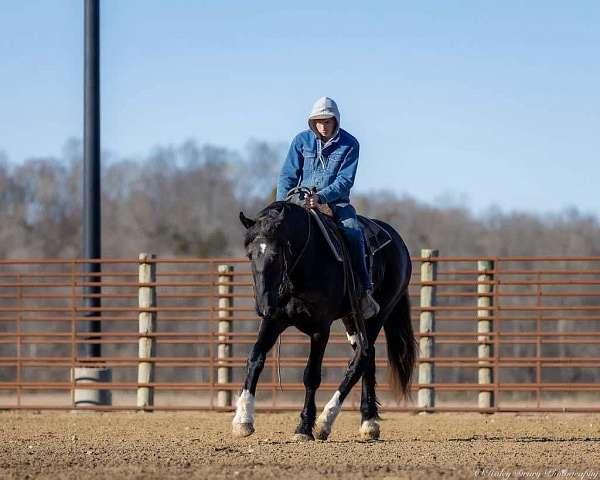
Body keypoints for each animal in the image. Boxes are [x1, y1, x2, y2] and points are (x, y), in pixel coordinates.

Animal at [232, 200, 414, 442]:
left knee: (361, 359)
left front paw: (304, 427)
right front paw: (243, 420)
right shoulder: (273, 320)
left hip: (378, 314)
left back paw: (326, 421)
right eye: (250, 254)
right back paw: (369, 422)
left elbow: (311, 375)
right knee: (368, 356)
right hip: (352, 320)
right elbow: (255, 359)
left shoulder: (320, 328)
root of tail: (399, 243)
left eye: (277, 254)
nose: (262, 305)